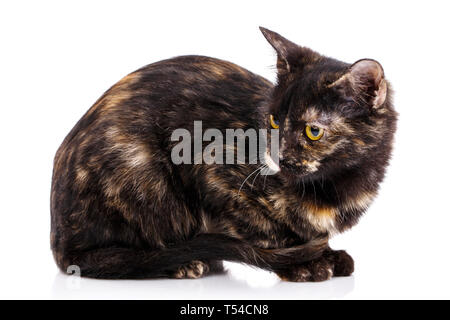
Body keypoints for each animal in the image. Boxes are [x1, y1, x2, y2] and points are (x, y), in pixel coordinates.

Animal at [50, 28, 398, 282]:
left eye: (313, 131)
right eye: (273, 121)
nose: (276, 156)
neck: (335, 184)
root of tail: (60, 244)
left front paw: (327, 254)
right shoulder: (213, 166)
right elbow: (269, 233)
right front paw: (303, 263)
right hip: (145, 176)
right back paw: (182, 263)